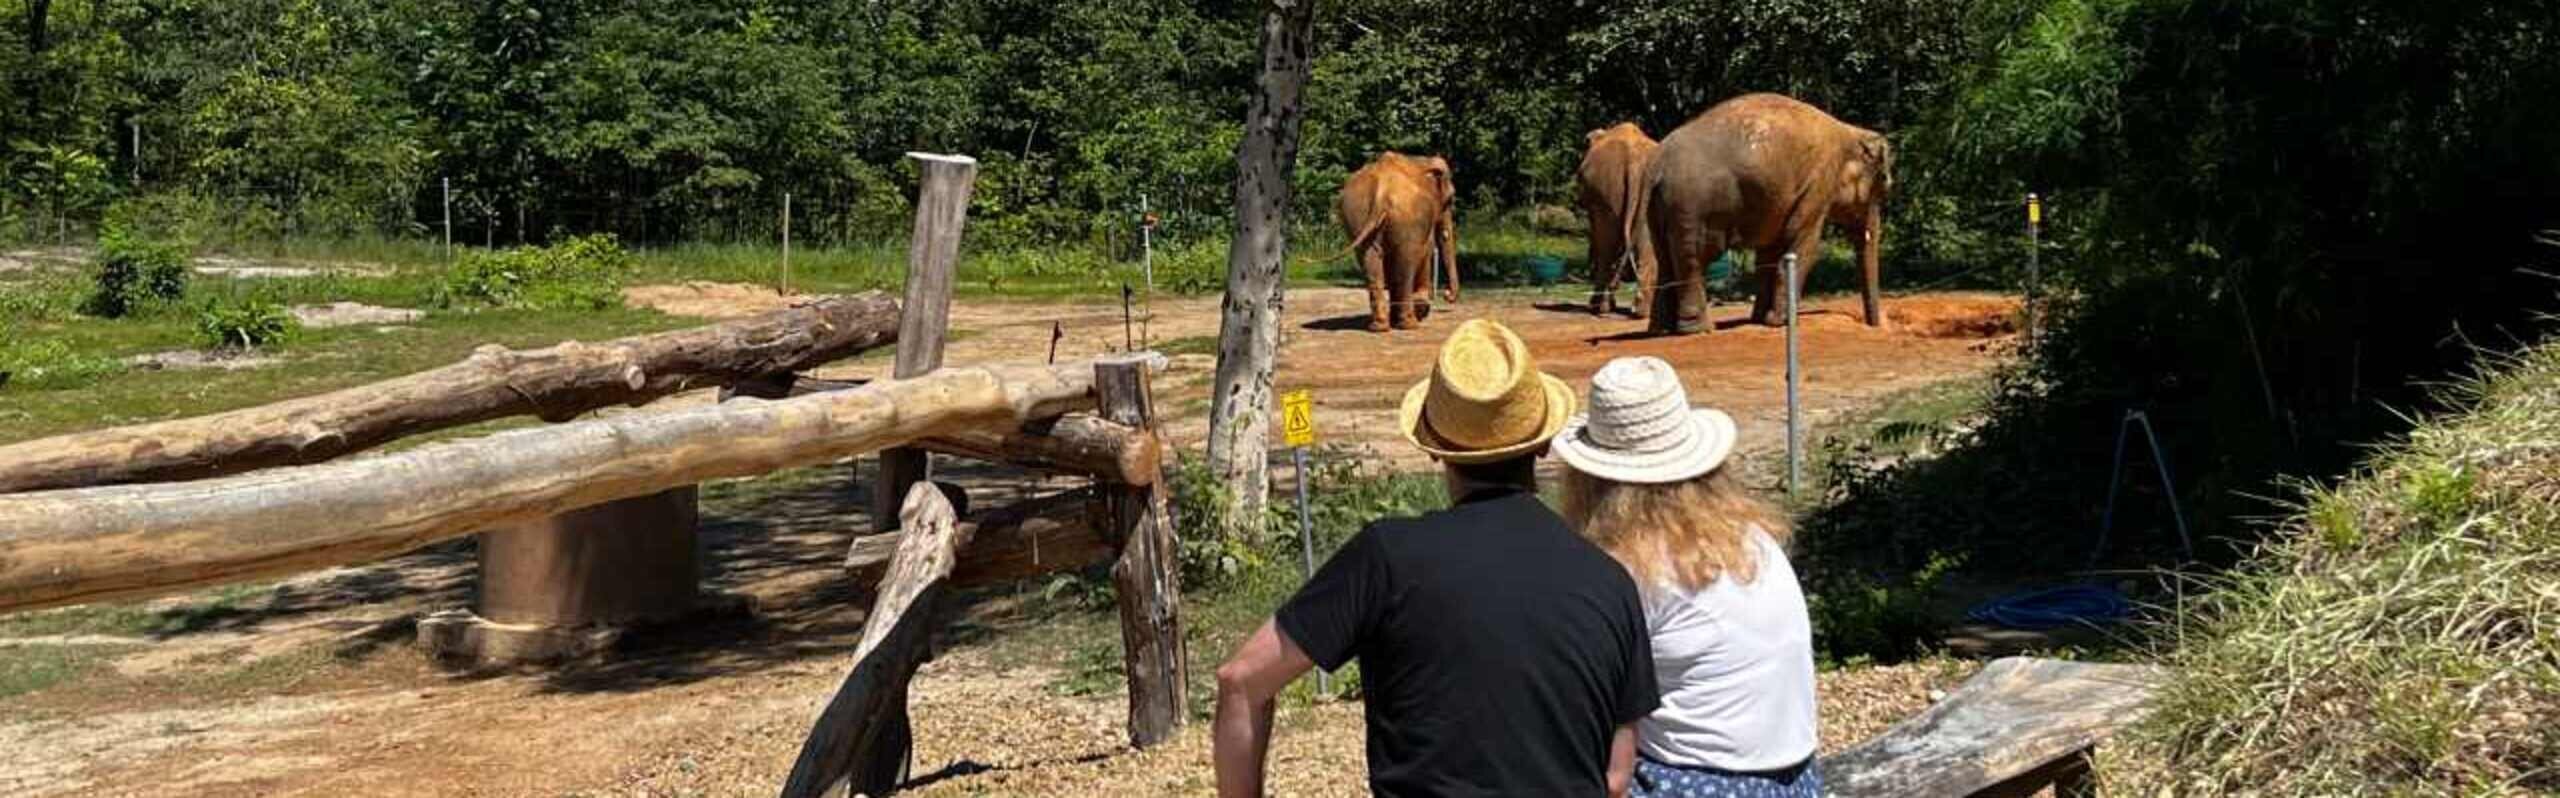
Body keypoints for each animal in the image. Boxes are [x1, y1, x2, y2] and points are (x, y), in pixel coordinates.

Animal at [1338, 151, 1461, 332]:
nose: (1447, 295)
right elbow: (1426, 250)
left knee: (1369, 258)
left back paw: (1380, 326)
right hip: (1406, 219)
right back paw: (1409, 324)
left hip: (1356, 215)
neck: (1421, 161)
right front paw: (1421, 307)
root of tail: (1381, 191)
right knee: (1406, 262)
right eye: (1450, 199)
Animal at [1643, 93, 1892, 333]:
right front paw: (1780, 322)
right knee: (1694, 259)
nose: (1873, 325)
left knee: (1664, 258)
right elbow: (1804, 246)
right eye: (1884, 183)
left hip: (1658, 209)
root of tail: (1657, 166)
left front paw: (1760, 320)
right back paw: (1700, 329)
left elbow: (1769, 252)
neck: (1850, 131)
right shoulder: (1818, 183)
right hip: (1691, 206)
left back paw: (1662, 330)